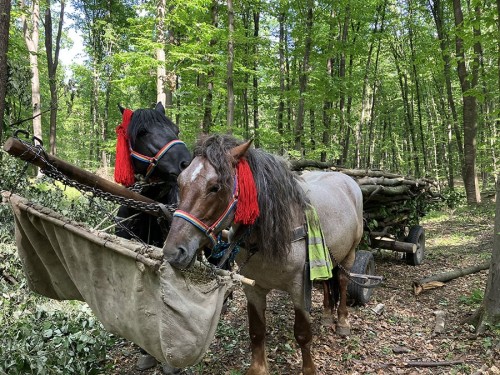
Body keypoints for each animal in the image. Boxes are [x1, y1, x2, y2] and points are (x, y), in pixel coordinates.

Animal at [164, 134, 364, 374]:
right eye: (180, 182)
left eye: (215, 187)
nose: (173, 251)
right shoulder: (253, 288)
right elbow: (257, 331)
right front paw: (258, 368)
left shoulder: (299, 288)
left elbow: (303, 334)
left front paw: (309, 368)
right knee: (327, 281)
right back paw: (326, 316)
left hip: (350, 253)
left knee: (342, 281)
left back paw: (342, 322)